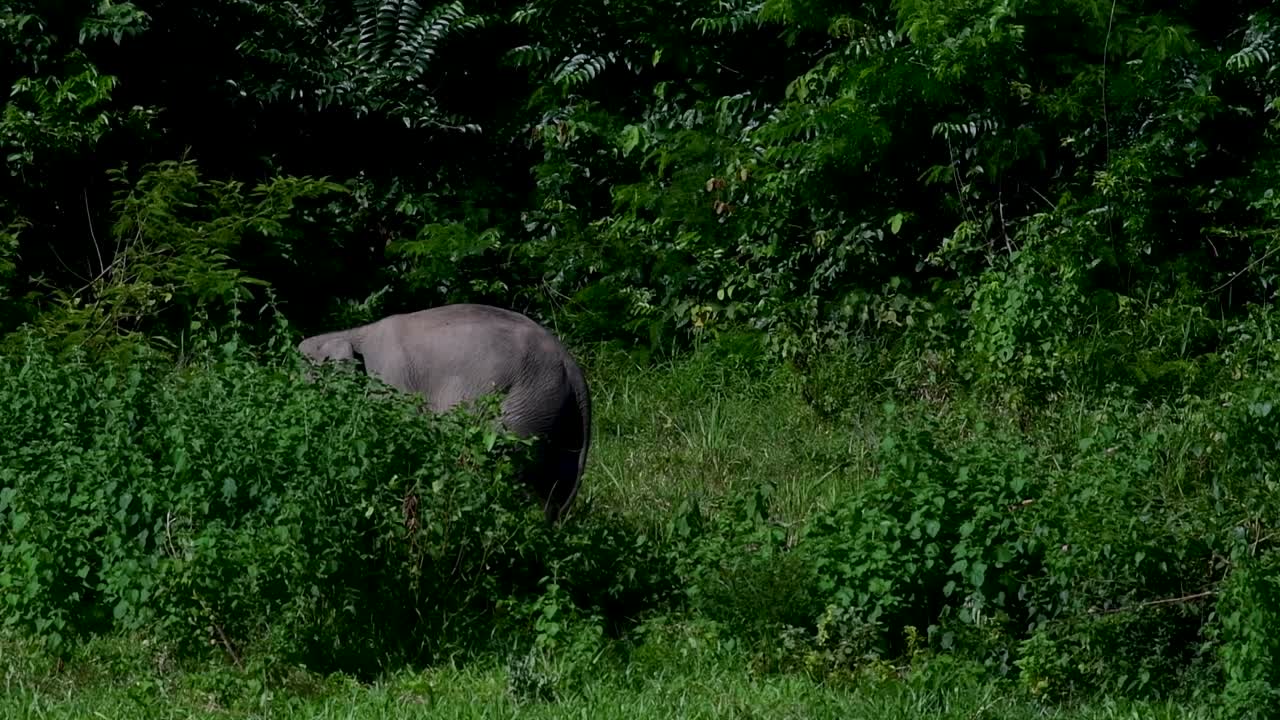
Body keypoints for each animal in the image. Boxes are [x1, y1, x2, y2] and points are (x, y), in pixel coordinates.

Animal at [297, 303, 591, 523]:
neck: (354, 333)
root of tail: (571, 367)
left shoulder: (390, 380)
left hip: (523, 408)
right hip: (559, 414)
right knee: (555, 483)